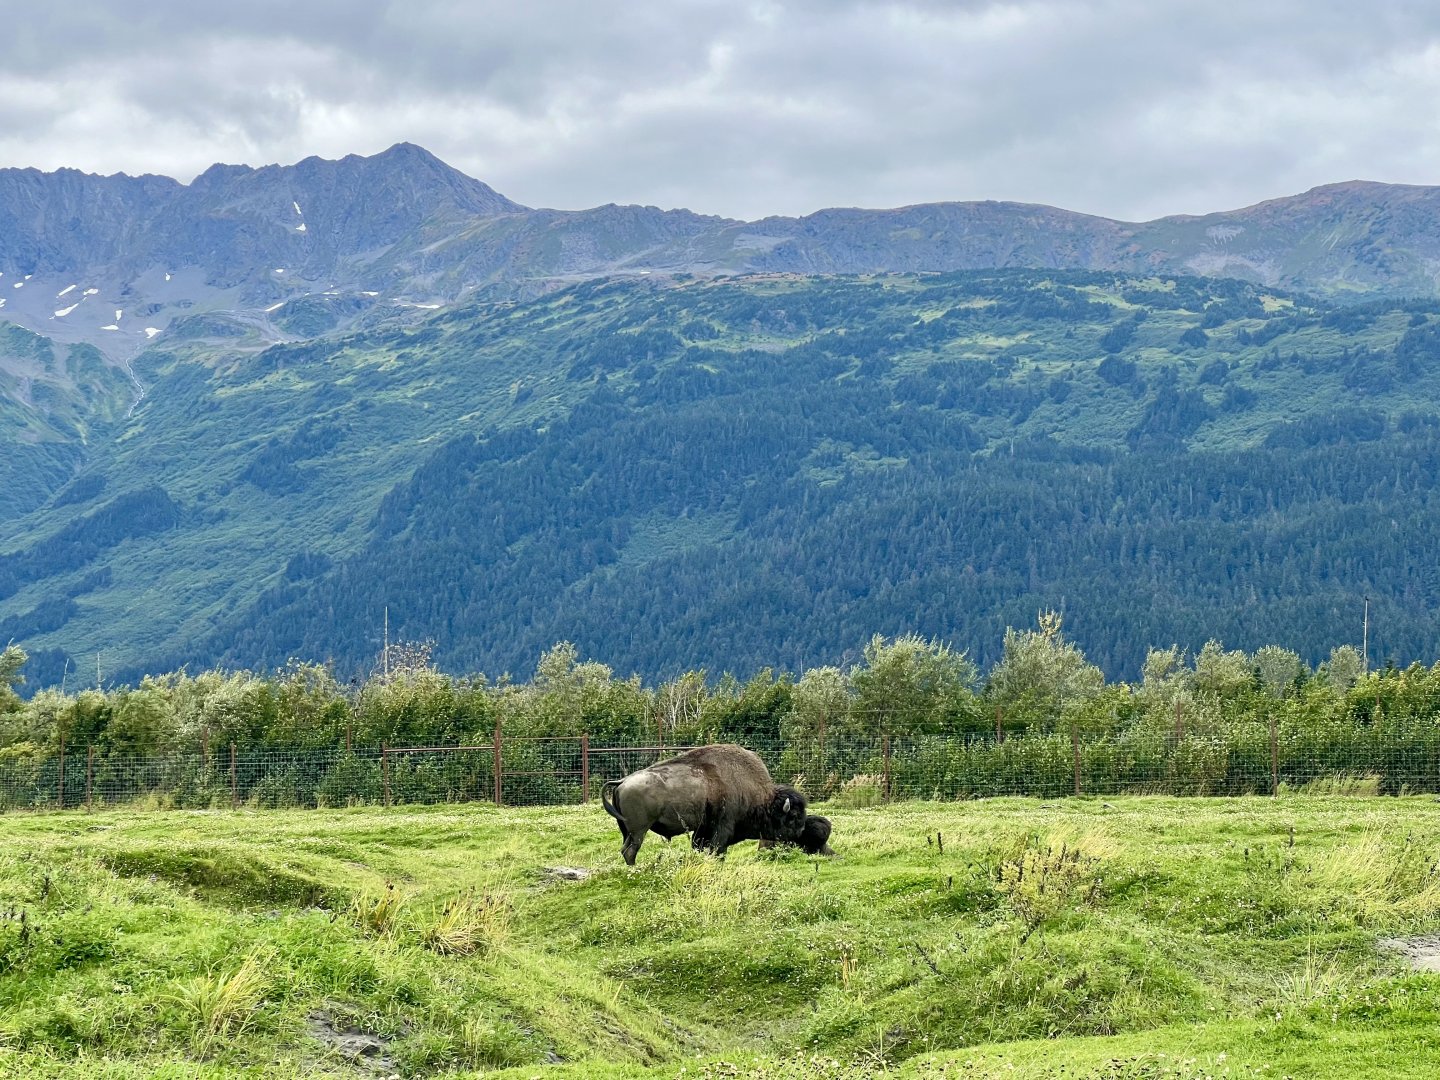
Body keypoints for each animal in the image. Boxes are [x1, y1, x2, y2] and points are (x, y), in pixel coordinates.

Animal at [600, 743, 810, 865]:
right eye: (793, 816)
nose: (801, 831)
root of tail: (622, 782)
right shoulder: (722, 828)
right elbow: (718, 850)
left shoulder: (702, 830)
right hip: (639, 830)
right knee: (631, 851)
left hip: (626, 830)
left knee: (625, 849)